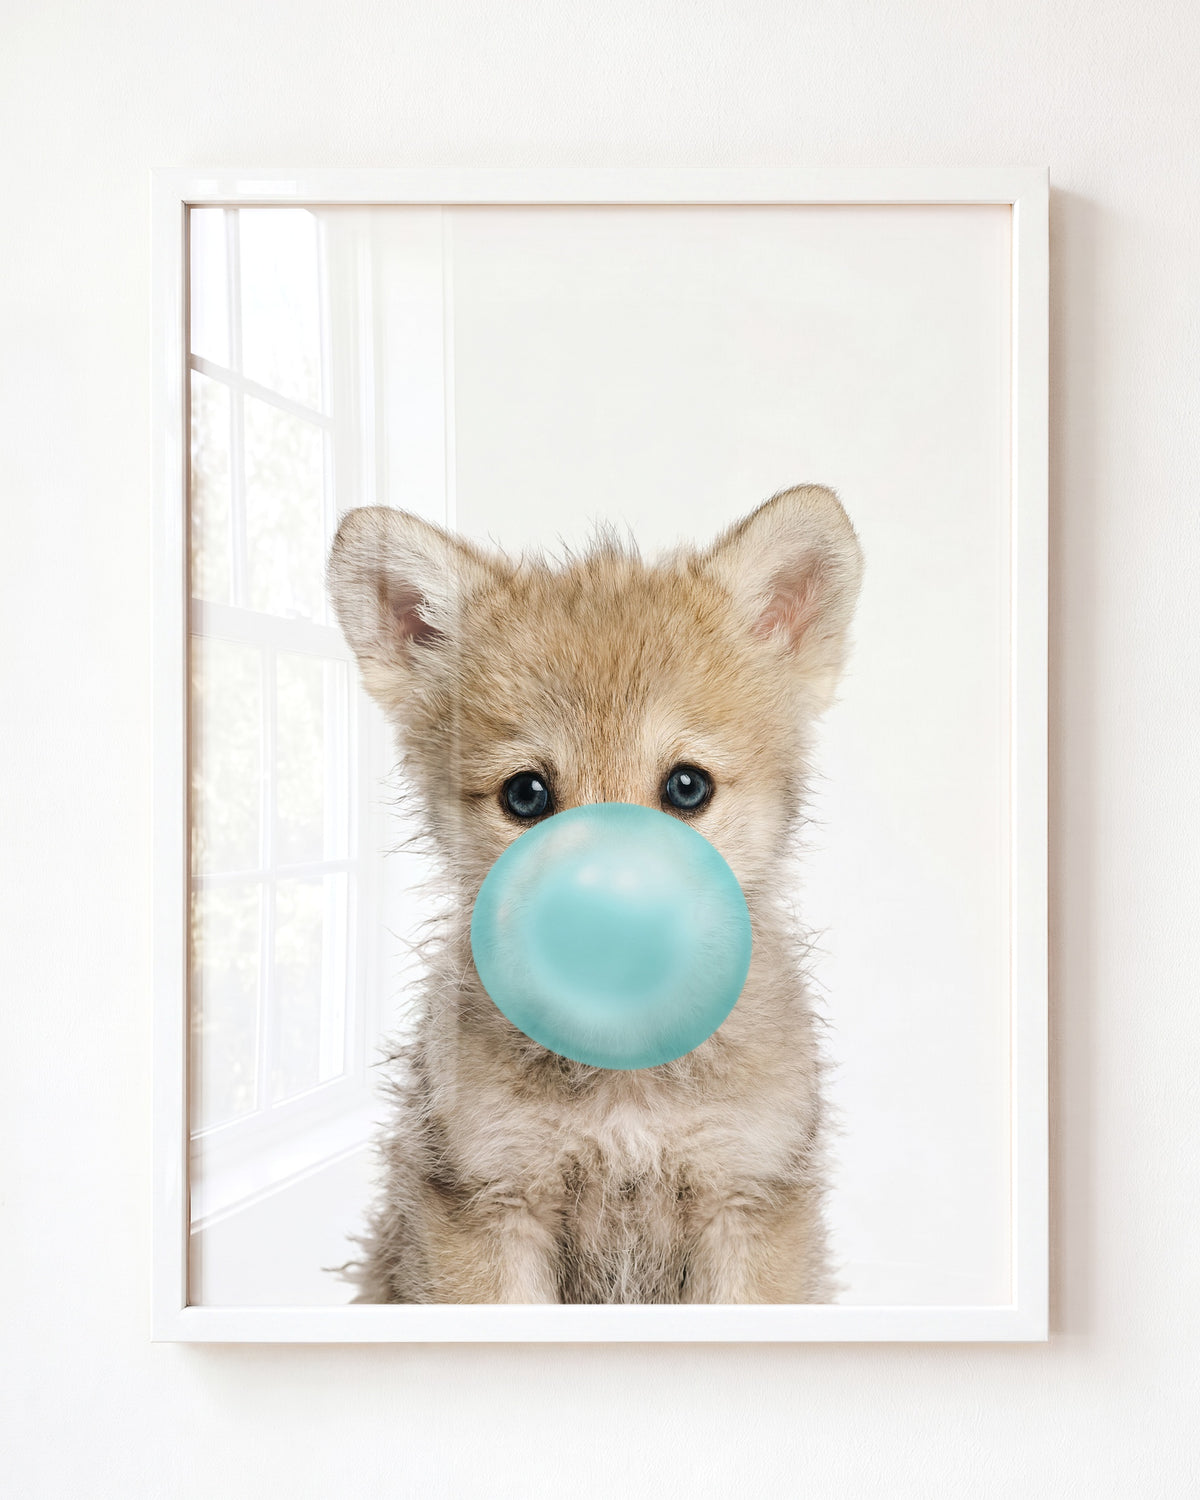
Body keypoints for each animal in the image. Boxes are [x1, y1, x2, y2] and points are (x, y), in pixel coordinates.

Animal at [327, 484, 863, 1303]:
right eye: (525, 794)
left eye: (687, 786)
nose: (608, 928)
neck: (625, 1084)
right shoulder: (490, 1203)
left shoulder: (746, 1199)